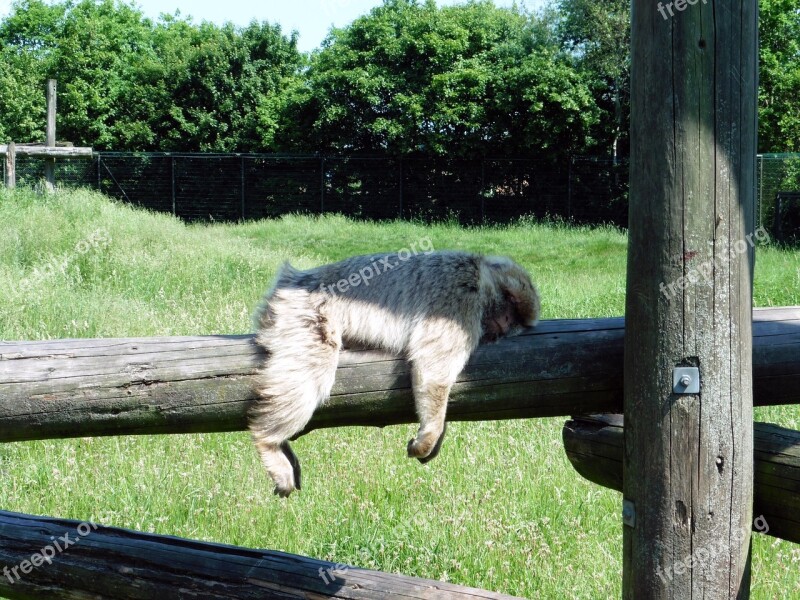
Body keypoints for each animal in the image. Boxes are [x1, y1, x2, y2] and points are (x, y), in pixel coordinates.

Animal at [247, 248, 540, 496]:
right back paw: (268, 442)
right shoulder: (458, 296)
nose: (504, 323)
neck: (479, 277)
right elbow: (433, 366)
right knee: (310, 369)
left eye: (514, 318)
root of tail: (292, 281)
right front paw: (432, 431)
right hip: (305, 313)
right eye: (510, 301)